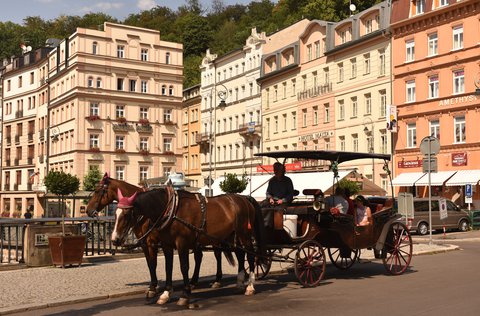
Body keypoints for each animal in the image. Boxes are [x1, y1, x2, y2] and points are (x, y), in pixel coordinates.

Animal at [86, 174, 231, 300]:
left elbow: (154, 263)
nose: (88, 210)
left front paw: (155, 287)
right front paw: (154, 286)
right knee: (199, 257)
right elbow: (150, 263)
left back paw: (217, 280)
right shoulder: (145, 243)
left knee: (217, 254)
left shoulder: (152, 242)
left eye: (98, 191)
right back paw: (194, 282)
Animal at [109, 185, 266, 306]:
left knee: (250, 256)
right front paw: (165, 293)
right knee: (240, 255)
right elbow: (168, 267)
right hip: (233, 236)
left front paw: (185, 294)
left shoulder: (181, 243)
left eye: (126, 214)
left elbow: (184, 267)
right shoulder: (166, 244)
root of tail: (244, 198)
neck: (170, 210)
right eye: (115, 214)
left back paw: (250, 285)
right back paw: (239, 283)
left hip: (244, 235)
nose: (114, 239)